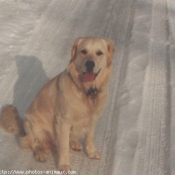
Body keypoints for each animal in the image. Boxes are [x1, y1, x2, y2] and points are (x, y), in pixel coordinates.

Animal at [0, 37, 115, 171]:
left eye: (99, 53)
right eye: (83, 51)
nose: (90, 64)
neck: (87, 90)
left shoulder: (93, 118)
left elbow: (89, 137)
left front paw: (91, 151)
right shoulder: (63, 120)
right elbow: (63, 145)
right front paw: (64, 164)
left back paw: (74, 143)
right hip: (33, 122)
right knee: (33, 142)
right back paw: (40, 153)